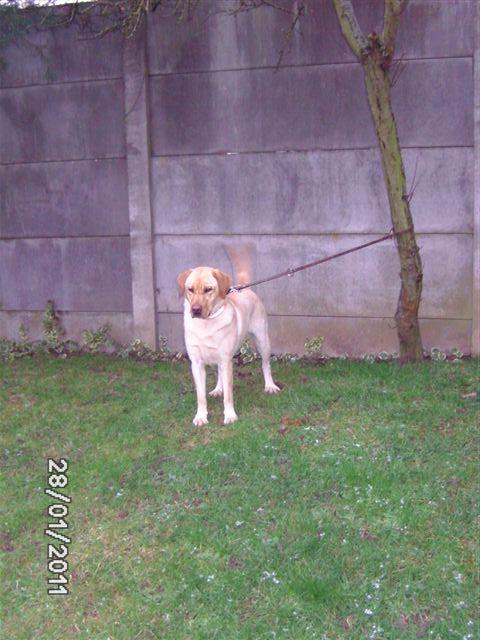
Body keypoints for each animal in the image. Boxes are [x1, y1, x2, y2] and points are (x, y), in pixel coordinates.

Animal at [178, 268, 280, 428]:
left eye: (208, 289)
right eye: (190, 289)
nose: (195, 310)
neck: (207, 323)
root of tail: (245, 288)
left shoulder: (226, 361)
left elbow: (228, 395)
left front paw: (230, 415)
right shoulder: (197, 364)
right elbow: (201, 396)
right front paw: (201, 416)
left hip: (262, 340)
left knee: (265, 364)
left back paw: (270, 386)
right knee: (219, 373)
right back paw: (218, 389)